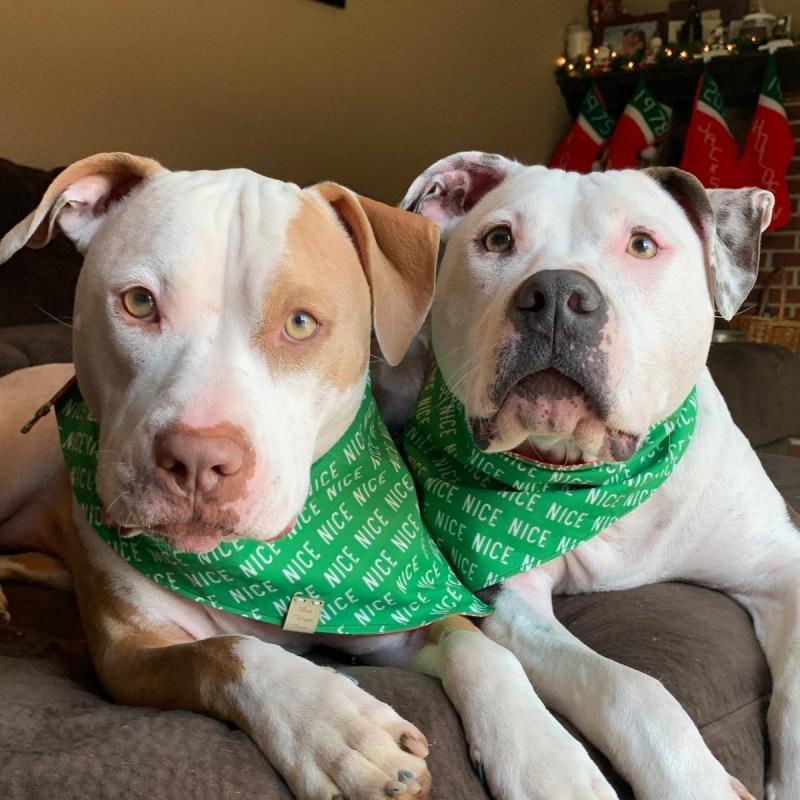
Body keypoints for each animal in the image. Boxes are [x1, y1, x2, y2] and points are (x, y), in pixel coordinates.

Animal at [1, 155, 536, 800]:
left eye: (301, 324)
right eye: (138, 303)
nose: (198, 459)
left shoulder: (399, 615)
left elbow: (479, 647)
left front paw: (549, 760)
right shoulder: (128, 655)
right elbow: (228, 651)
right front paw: (336, 728)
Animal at [392, 152, 800, 800]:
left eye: (642, 244)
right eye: (498, 239)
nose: (557, 294)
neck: (592, 477)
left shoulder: (782, 565)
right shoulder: (507, 603)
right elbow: (630, 687)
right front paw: (693, 780)